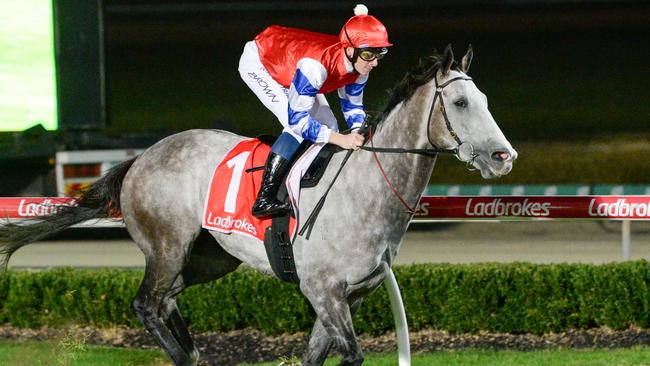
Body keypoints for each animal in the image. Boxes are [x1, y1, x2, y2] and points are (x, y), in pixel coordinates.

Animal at [1, 44, 516, 364]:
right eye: (462, 103)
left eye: (485, 98)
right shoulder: (323, 291)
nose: (503, 156)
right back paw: (182, 355)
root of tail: (140, 158)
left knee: (167, 299)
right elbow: (352, 355)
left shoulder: (348, 295)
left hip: (210, 257)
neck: (363, 192)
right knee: (146, 303)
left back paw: (191, 349)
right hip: (167, 246)